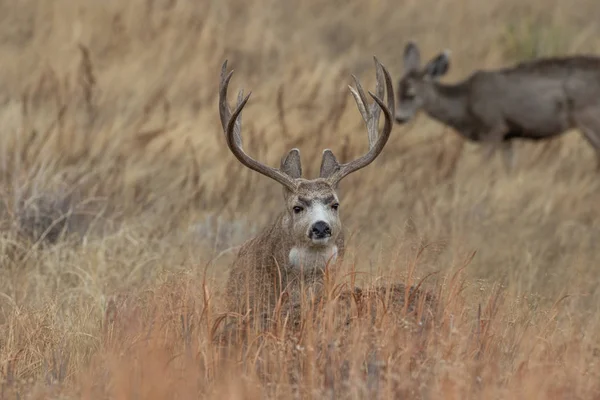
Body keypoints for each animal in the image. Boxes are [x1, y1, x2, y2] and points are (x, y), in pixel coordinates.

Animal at [396, 41, 600, 171]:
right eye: (397, 91)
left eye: (411, 94)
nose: (399, 118)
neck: (464, 103)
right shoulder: (507, 136)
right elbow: (510, 168)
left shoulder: (493, 127)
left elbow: (482, 166)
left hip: (588, 117)